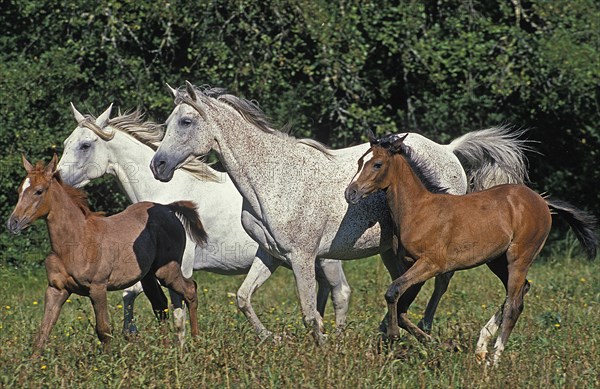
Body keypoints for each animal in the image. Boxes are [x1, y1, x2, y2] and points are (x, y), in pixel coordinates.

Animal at [6, 154, 209, 352]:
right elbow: (43, 332)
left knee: (190, 290)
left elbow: (103, 330)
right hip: (148, 276)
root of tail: (168, 208)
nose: (13, 223)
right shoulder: (56, 289)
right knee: (160, 305)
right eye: (19, 190)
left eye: (39, 191)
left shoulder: (97, 288)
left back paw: (196, 343)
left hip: (167, 270)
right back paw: (166, 351)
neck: (75, 241)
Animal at [55, 104, 352, 340]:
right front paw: (132, 333)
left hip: (325, 259)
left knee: (341, 292)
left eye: (85, 145)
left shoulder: (181, 266)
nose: (56, 179)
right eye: (67, 142)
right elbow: (131, 294)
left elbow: (168, 304)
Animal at [149, 80, 528, 342]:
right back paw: (390, 329)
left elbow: (308, 311)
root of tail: (449, 150)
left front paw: (322, 345)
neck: (273, 177)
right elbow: (244, 298)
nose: (158, 166)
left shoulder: (301, 257)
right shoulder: (270, 253)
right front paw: (273, 338)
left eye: (185, 122)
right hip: (392, 251)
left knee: (440, 282)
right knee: (405, 286)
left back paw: (421, 327)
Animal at [344, 132, 596, 366]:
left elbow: (392, 292)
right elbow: (402, 307)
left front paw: (396, 335)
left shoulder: (430, 264)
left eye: (377, 164)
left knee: (514, 304)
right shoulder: (409, 265)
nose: (350, 193)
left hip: (519, 257)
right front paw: (438, 344)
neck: (418, 211)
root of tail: (542, 201)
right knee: (519, 291)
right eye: (360, 161)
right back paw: (481, 344)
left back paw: (494, 359)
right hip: (497, 261)